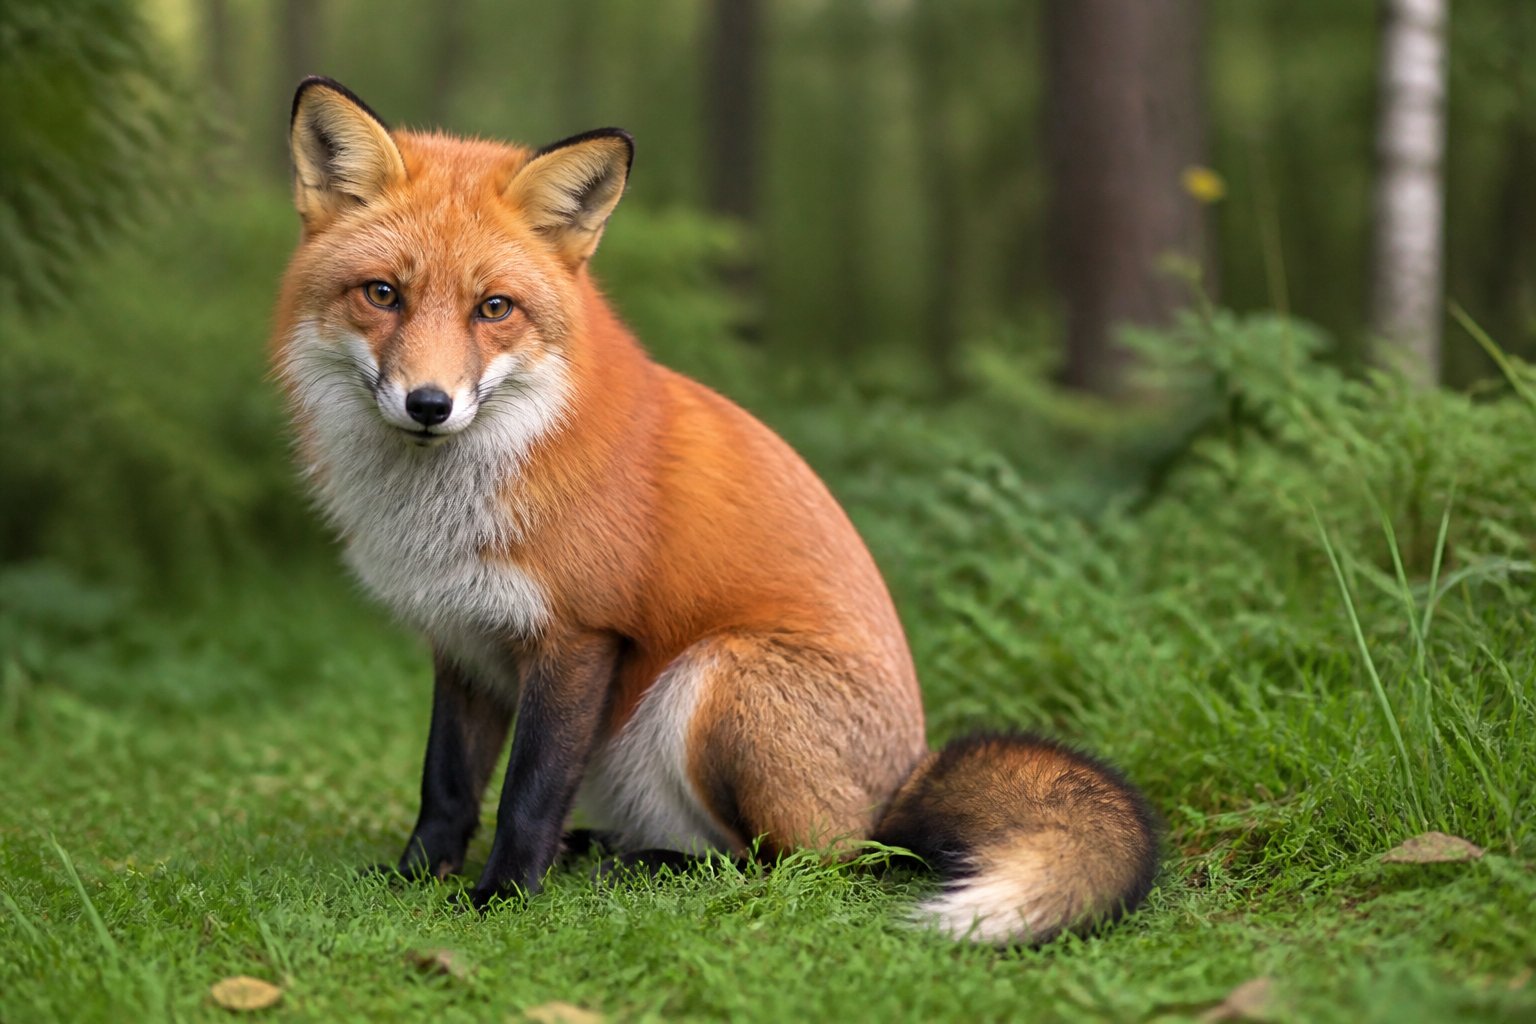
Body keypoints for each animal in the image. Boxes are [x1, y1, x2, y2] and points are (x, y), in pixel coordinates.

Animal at [272, 76, 1157, 944]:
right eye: (382, 294)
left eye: (494, 308)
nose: (430, 404)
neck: (447, 505)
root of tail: (898, 790)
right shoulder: (462, 640)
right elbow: (447, 787)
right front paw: (414, 880)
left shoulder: (578, 635)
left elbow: (527, 793)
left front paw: (503, 897)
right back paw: (602, 848)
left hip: (716, 681)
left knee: (804, 868)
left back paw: (645, 866)